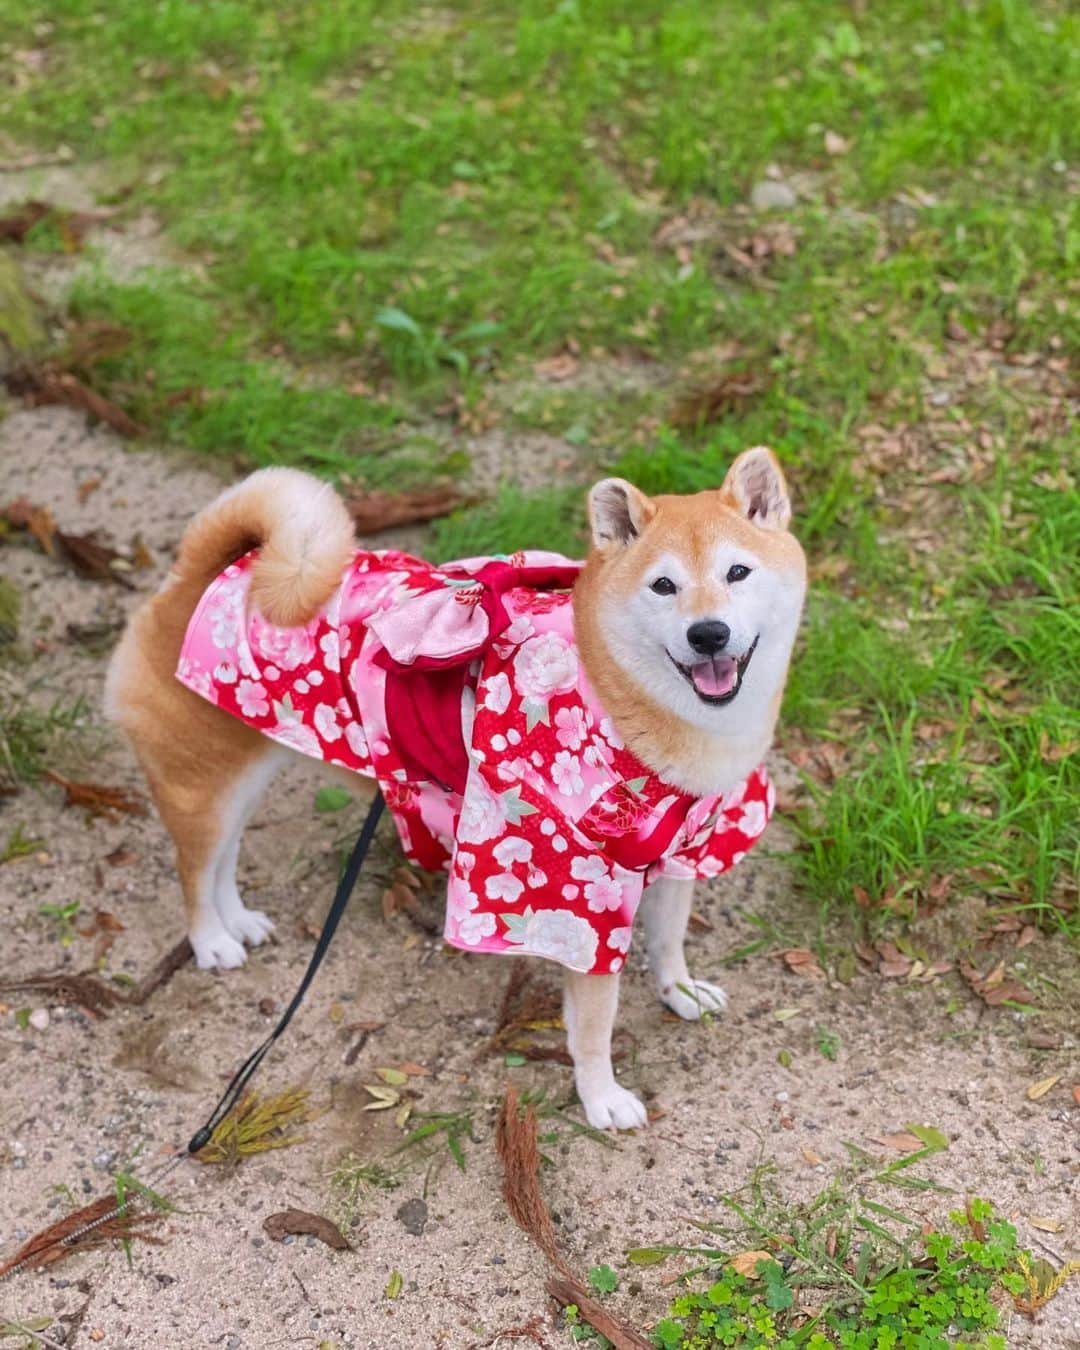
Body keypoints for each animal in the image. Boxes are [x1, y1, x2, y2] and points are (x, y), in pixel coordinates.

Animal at [107, 450, 799, 1128]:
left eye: (738, 572)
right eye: (662, 585)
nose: (708, 633)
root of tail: (205, 573)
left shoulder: (687, 850)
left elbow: (670, 938)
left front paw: (679, 991)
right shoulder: (575, 897)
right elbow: (595, 1020)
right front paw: (602, 1097)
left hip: (246, 773)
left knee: (222, 859)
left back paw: (239, 920)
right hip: (202, 784)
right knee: (193, 869)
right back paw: (211, 940)